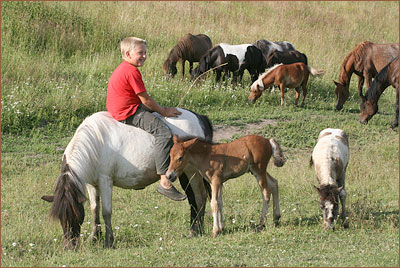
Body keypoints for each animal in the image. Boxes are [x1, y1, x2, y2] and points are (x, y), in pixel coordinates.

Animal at [41, 108, 214, 249]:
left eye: (76, 215)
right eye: (60, 217)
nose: (70, 246)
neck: (94, 144)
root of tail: (199, 118)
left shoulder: (105, 181)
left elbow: (106, 211)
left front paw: (108, 241)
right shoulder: (90, 183)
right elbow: (94, 208)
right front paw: (94, 237)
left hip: (190, 172)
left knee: (198, 196)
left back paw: (195, 230)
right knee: (194, 197)